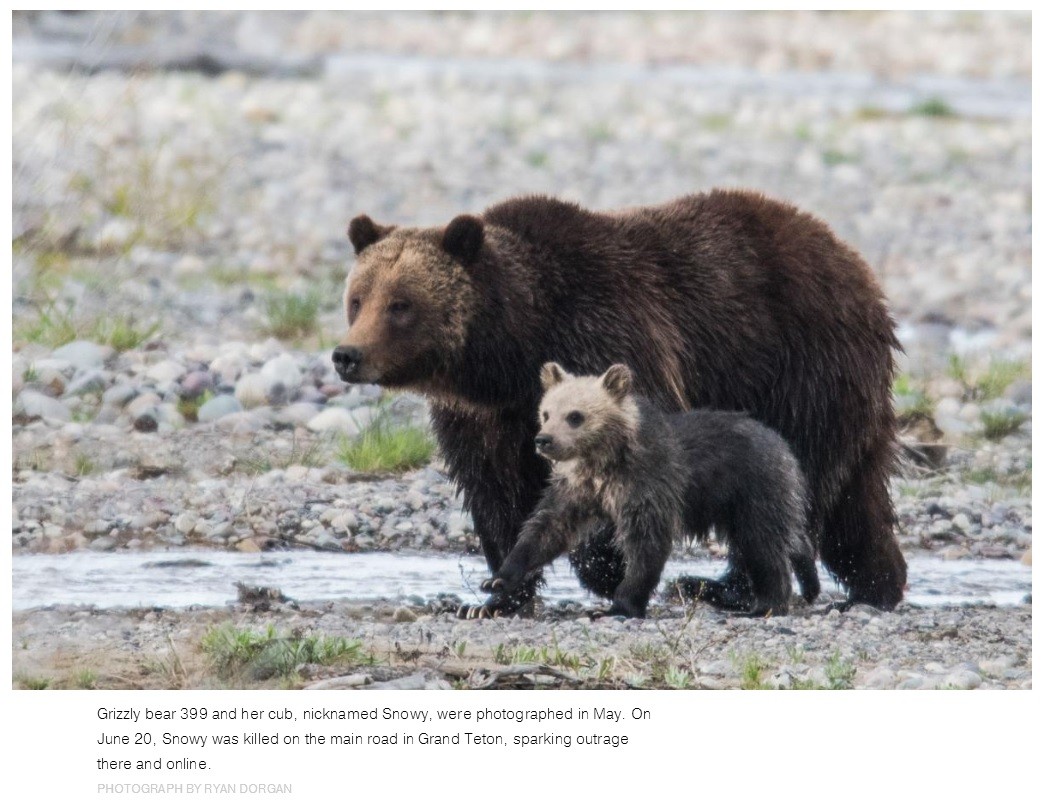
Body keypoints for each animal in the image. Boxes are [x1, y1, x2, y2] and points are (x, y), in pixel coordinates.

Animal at [334, 190, 906, 618]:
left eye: (401, 304)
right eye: (358, 298)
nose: (347, 355)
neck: (511, 350)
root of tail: (855, 265)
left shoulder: (608, 338)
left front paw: (609, 571)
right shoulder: (485, 419)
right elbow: (495, 494)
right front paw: (497, 595)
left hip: (798, 369)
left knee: (791, 489)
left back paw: (726, 585)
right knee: (856, 498)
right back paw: (877, 582)